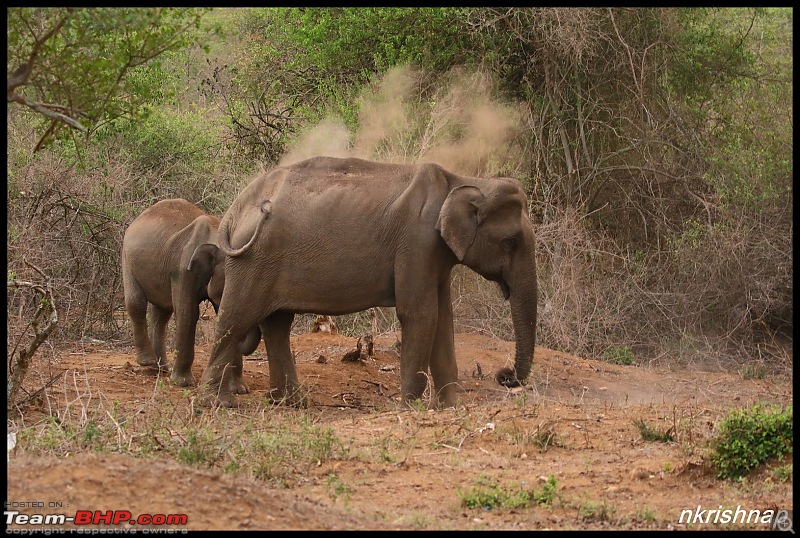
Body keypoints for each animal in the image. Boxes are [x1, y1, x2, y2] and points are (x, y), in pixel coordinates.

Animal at [120, 198, 260, 386]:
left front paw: (239, 389)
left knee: (161, 314)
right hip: (127, 259)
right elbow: (188, 313)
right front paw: (183, 383)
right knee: (137, 303)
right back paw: (148, 362)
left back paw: (161, 368)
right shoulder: (183, 269)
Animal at [199, 155, 536, 406]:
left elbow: (443, 319)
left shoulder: (435, 254)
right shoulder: (417, 242)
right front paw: (410, 408)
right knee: (236, 319)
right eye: (511, 242)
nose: (504, 375)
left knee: (276, 325)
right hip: (252, 262)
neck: (461, 181)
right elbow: (420, 314)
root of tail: (237, 207)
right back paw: (218, 402)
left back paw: (291, 403)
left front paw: (447, 408)